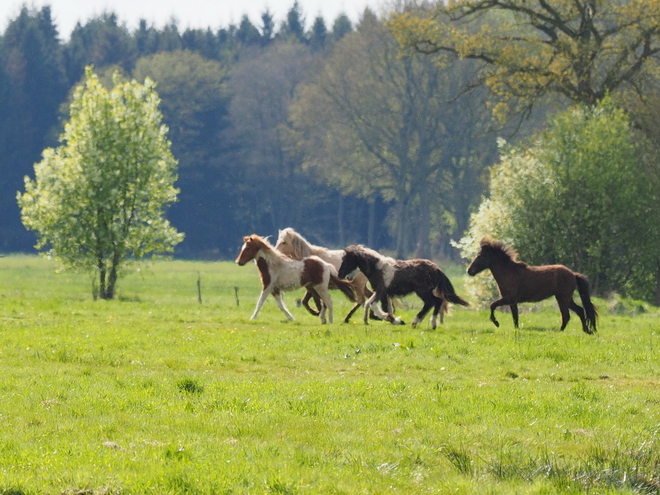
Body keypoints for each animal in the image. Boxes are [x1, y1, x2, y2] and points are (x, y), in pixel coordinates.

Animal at [338, 244, 472, 330]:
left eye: (347, 260)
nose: (341, 275)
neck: (378, 269)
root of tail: (437, 269)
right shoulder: (383, 293)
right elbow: (377, 306)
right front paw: (392, 320)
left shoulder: (381, 291)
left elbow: (374, 305)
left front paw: (394, 320)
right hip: (424, 291)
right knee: (434, 302)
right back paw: (424, 323)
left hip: (422, 291)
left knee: (433, 302)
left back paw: (423, 323)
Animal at [464, 237, 600, 338]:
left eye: (480, 256)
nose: (469, 271)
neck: (509, 272)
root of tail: (573, 274)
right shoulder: (512, 301)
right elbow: (515, 317)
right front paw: (516, 330)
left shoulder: (508, 299)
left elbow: (492, 305)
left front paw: (496, 323)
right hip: (566, 298)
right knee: (579, 311)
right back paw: (587, 330)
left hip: (562, 298)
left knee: (566, 315)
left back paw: (560, 331)